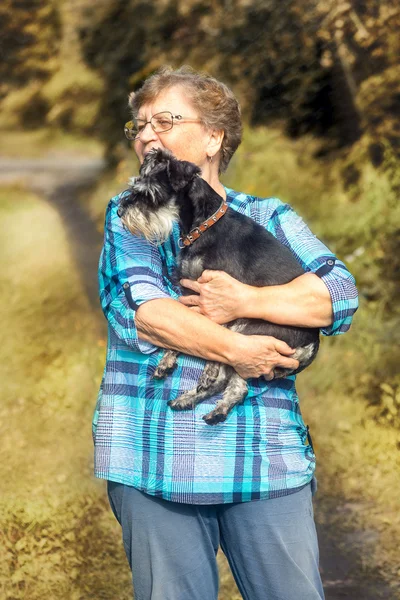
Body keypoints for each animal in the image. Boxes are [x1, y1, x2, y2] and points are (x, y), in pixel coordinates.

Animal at [116, 148, 318, 424]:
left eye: (150, 194)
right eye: (134, 187)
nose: (120, 212)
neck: (203, 227)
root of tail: (313, 344)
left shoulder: (220, 298)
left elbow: (217, 330)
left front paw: (199, 368)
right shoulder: (190, 294)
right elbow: (186, 329)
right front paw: (167, 361)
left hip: (251, 332)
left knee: (233, 372)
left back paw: (208, 389)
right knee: (233, 381)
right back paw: (196, 403)